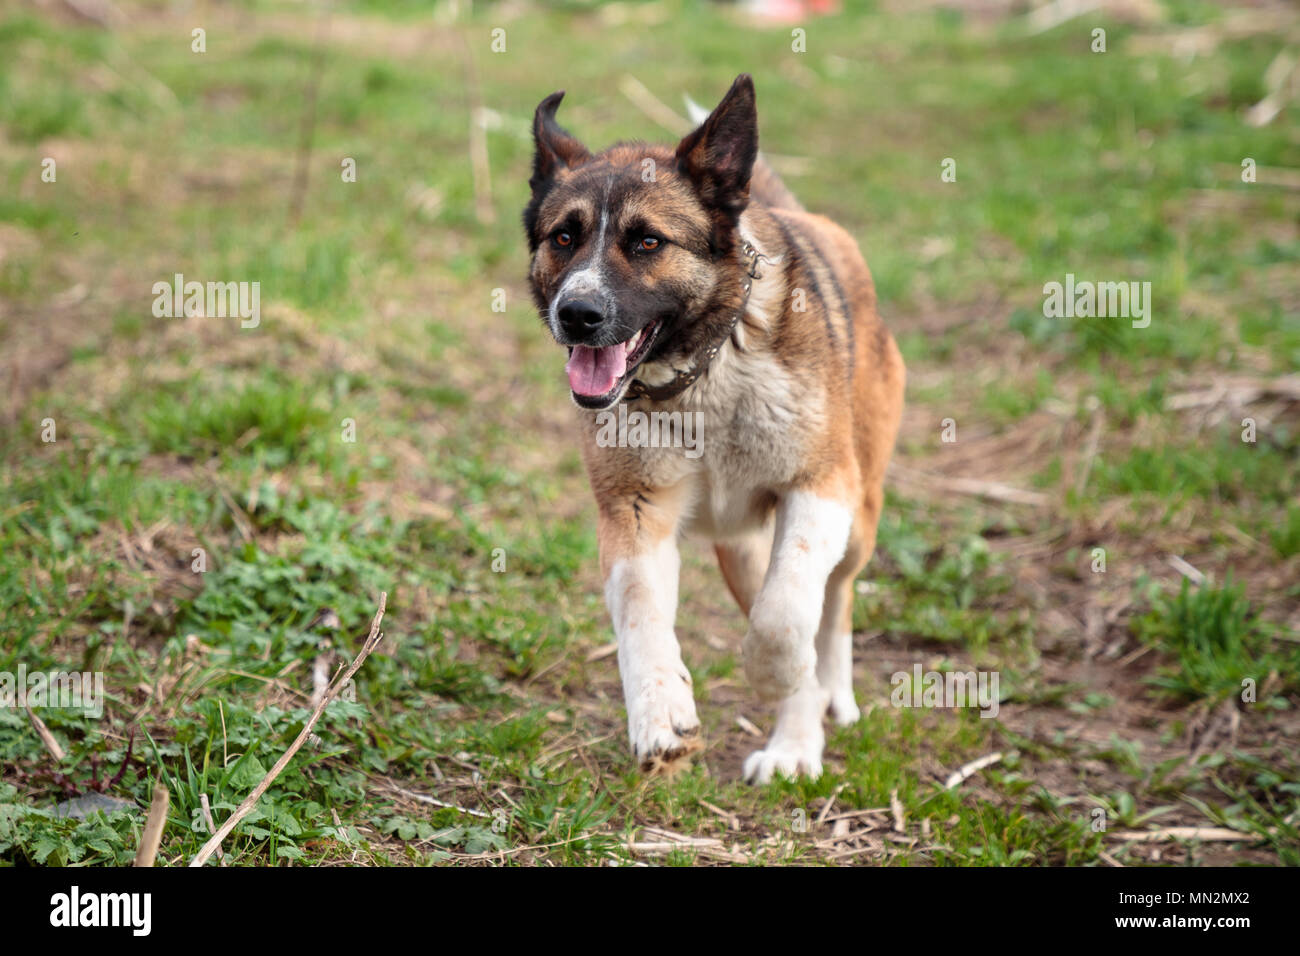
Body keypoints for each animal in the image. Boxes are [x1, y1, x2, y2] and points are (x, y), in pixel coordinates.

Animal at [520, 70, 904, 780]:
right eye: (563, 237)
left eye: (647, 241)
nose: (576, 314)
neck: (705, 374)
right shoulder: (633, 510)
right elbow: (641, 614)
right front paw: (659, 713)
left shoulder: (821, 487)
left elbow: (786, 616)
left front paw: (772, 671)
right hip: (742, 550)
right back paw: (795, 746)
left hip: (859, 515)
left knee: (833, 601)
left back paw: (820, 710)